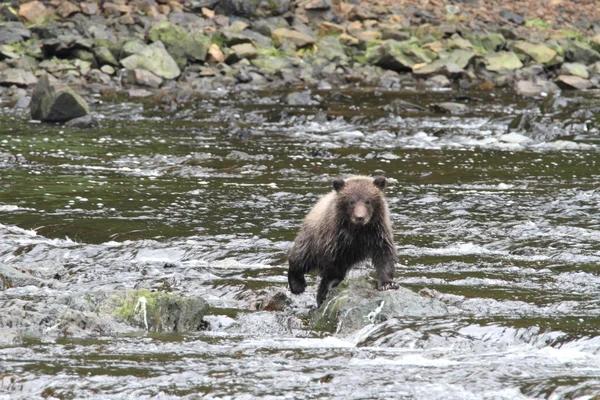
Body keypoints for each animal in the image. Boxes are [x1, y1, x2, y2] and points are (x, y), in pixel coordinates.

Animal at [288, 176, 396, 306]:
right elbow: (333, 262)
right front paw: (333, 282)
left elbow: (384, 254)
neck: (358, 230)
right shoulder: (335, 237)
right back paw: (297, 285)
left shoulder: (377, 232)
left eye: (368, 201)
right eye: (351, 201)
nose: (360, 217)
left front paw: (387, 283)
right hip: (311, 238)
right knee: (301, 258)